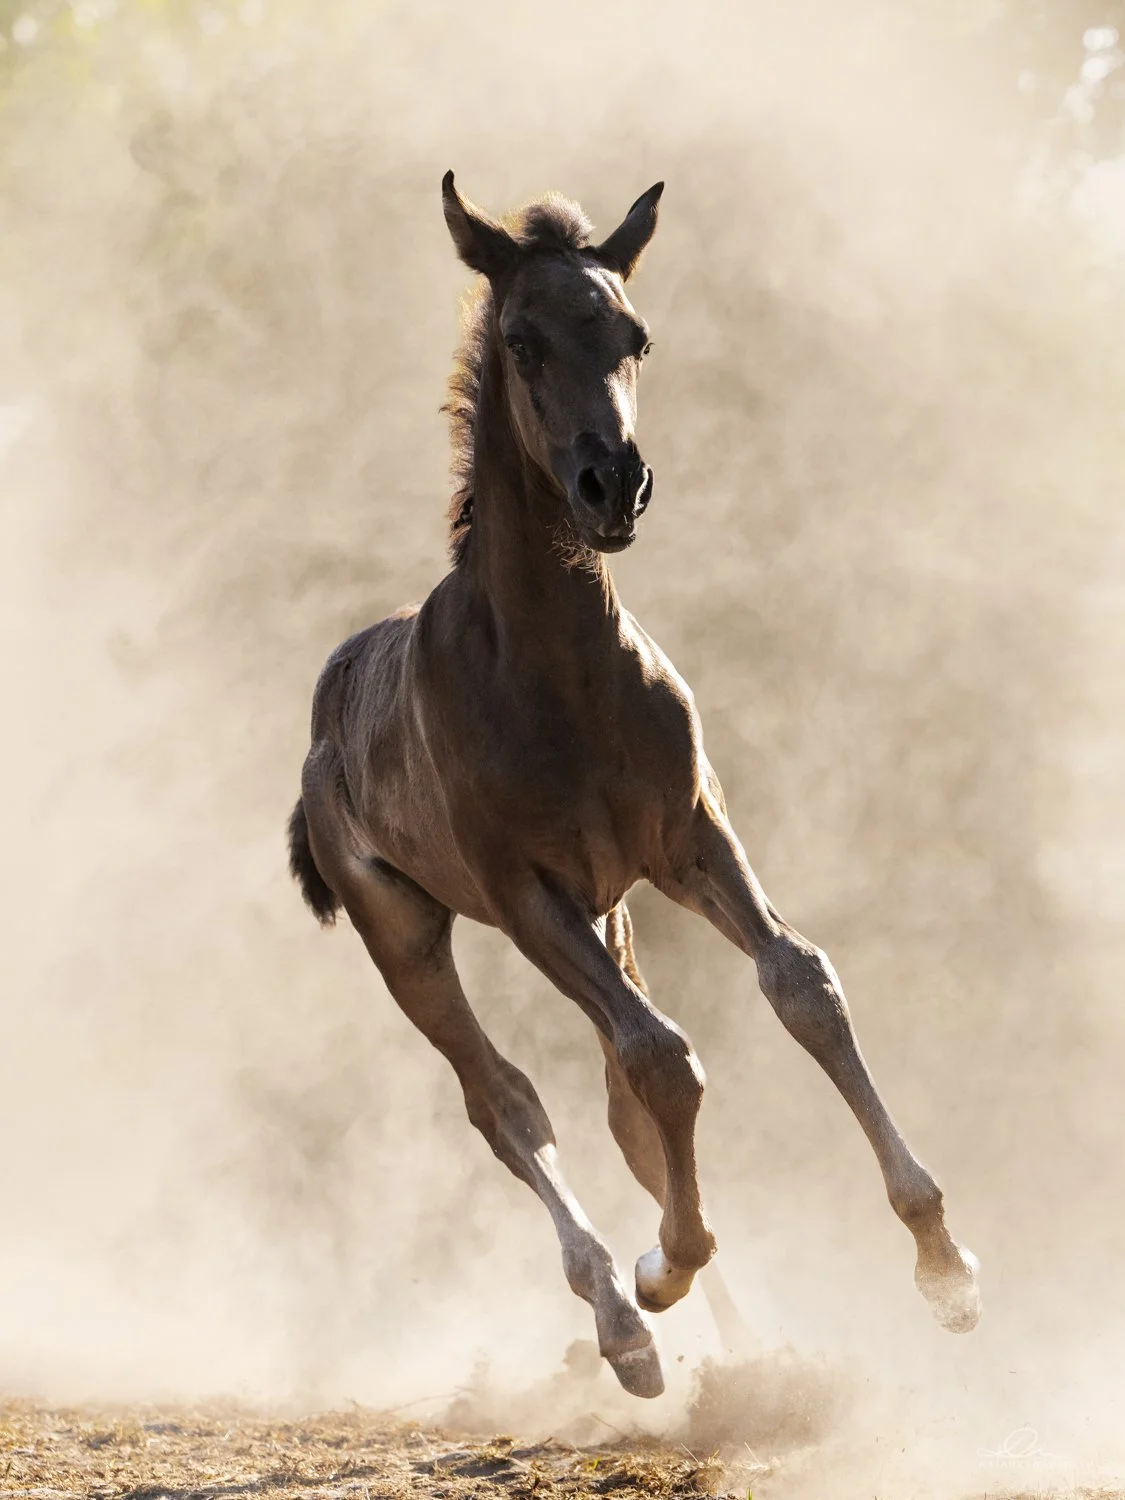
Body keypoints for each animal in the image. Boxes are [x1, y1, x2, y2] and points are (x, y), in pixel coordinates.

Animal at [287, 173, 981, 1398]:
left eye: (635, 336)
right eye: (522, 340)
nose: (613, 482)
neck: (557, 672)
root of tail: (325, 716)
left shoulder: (689, 836)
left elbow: (801, 985)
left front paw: (942, 1264)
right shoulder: (528, 897)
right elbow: (664, 1056)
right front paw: (663, 1271)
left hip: (614, 912)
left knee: (610, 1098)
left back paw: (742, 1350)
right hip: (406, 932)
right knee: (506, 1100)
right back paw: (624, 1319)